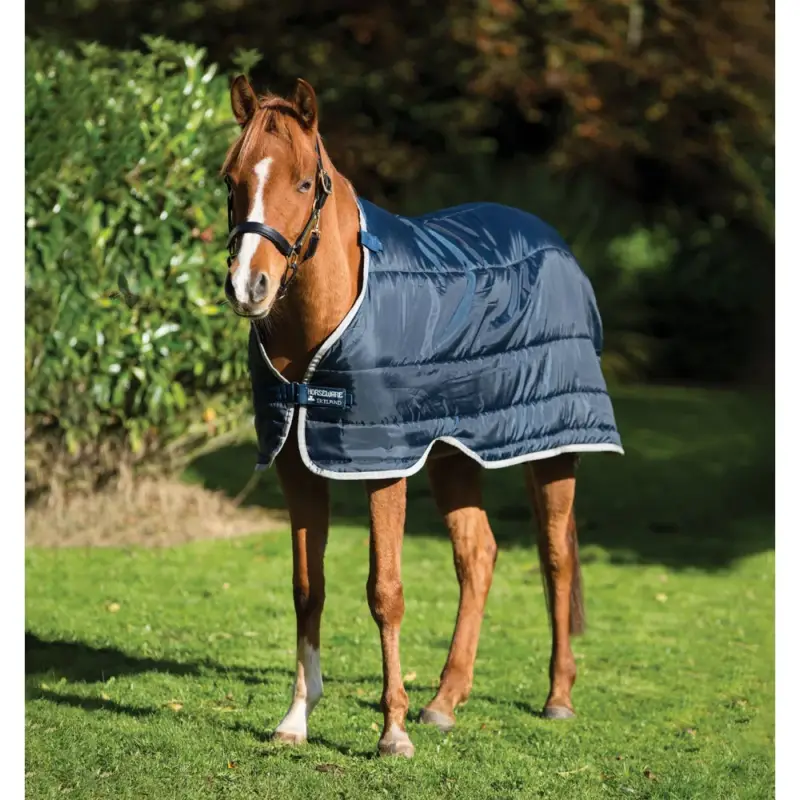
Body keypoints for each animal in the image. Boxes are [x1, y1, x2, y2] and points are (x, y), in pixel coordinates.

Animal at [220, 75, 623, 758]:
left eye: (302, 183)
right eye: (231, 180)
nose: (250, 287)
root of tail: (555, 243)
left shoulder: (384, 467)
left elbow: (385, 592)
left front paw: (392, 732)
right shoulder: (298, 466)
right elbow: (308, 589)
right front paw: (296, 720)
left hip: (552, 448)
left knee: (555, 559)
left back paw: (557, 697)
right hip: (454, 454)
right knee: (478, 556)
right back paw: (445, 702)